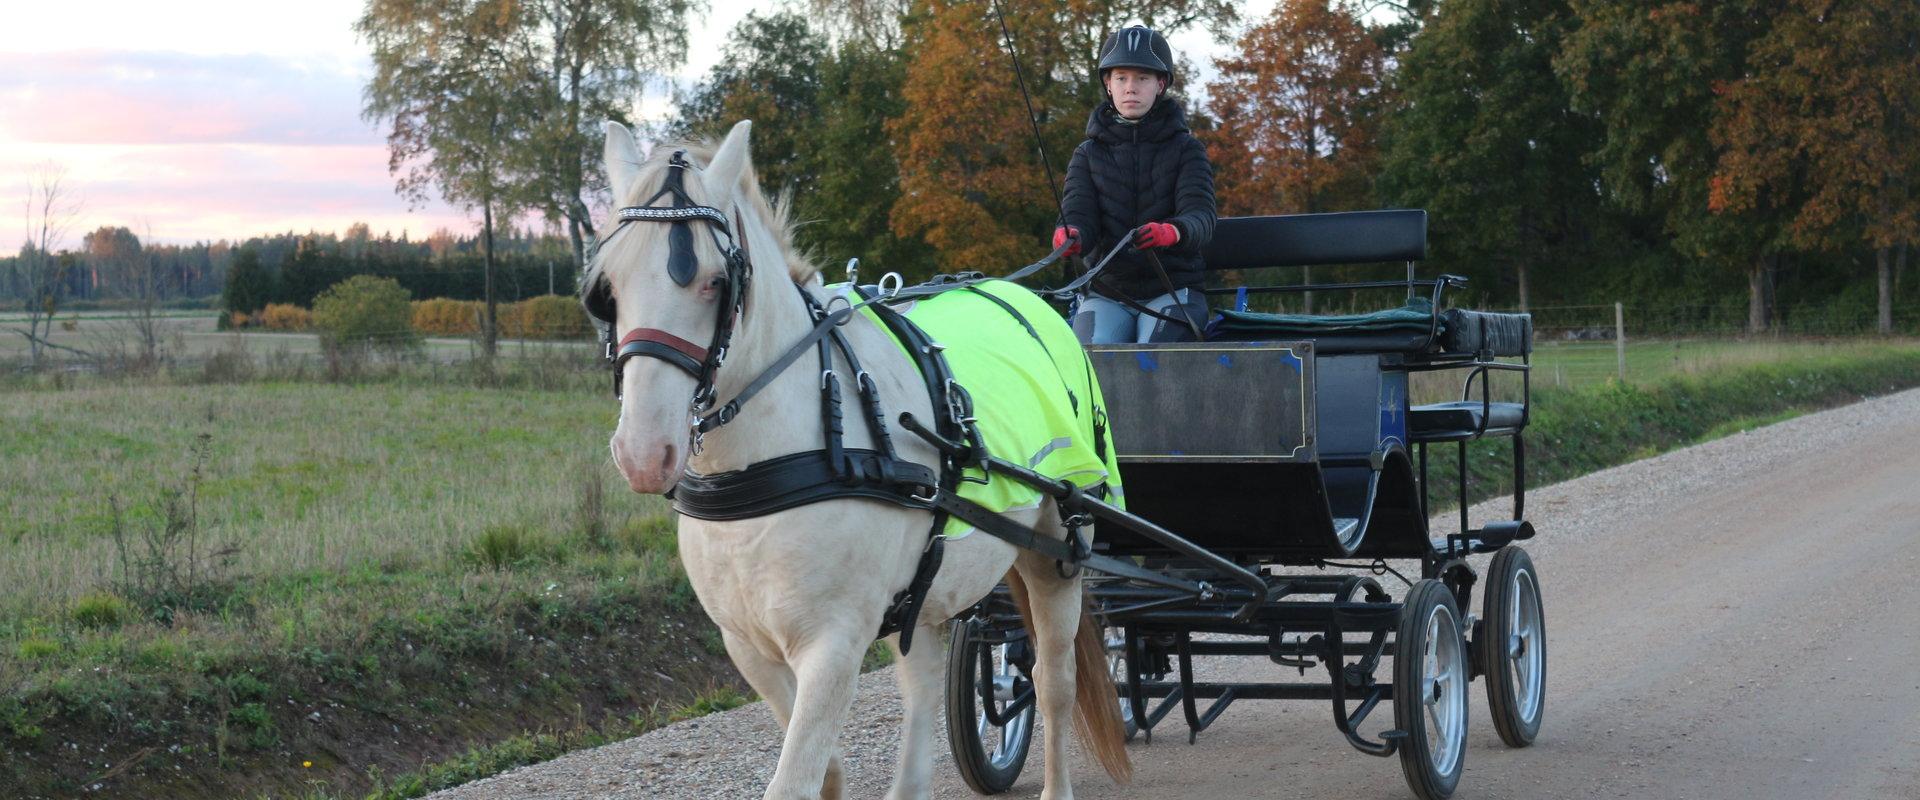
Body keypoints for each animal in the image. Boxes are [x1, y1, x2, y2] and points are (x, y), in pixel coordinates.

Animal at [583, 119, 1121, 798]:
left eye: (713, 281)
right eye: (607, 287)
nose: (643, 452)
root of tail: (1032, 298)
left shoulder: (834, 643)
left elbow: (794, 778)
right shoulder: (747, 646)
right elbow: (827, 767)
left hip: (1057, 549)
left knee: (1053, 684)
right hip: (928, 583)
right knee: (923, 683)